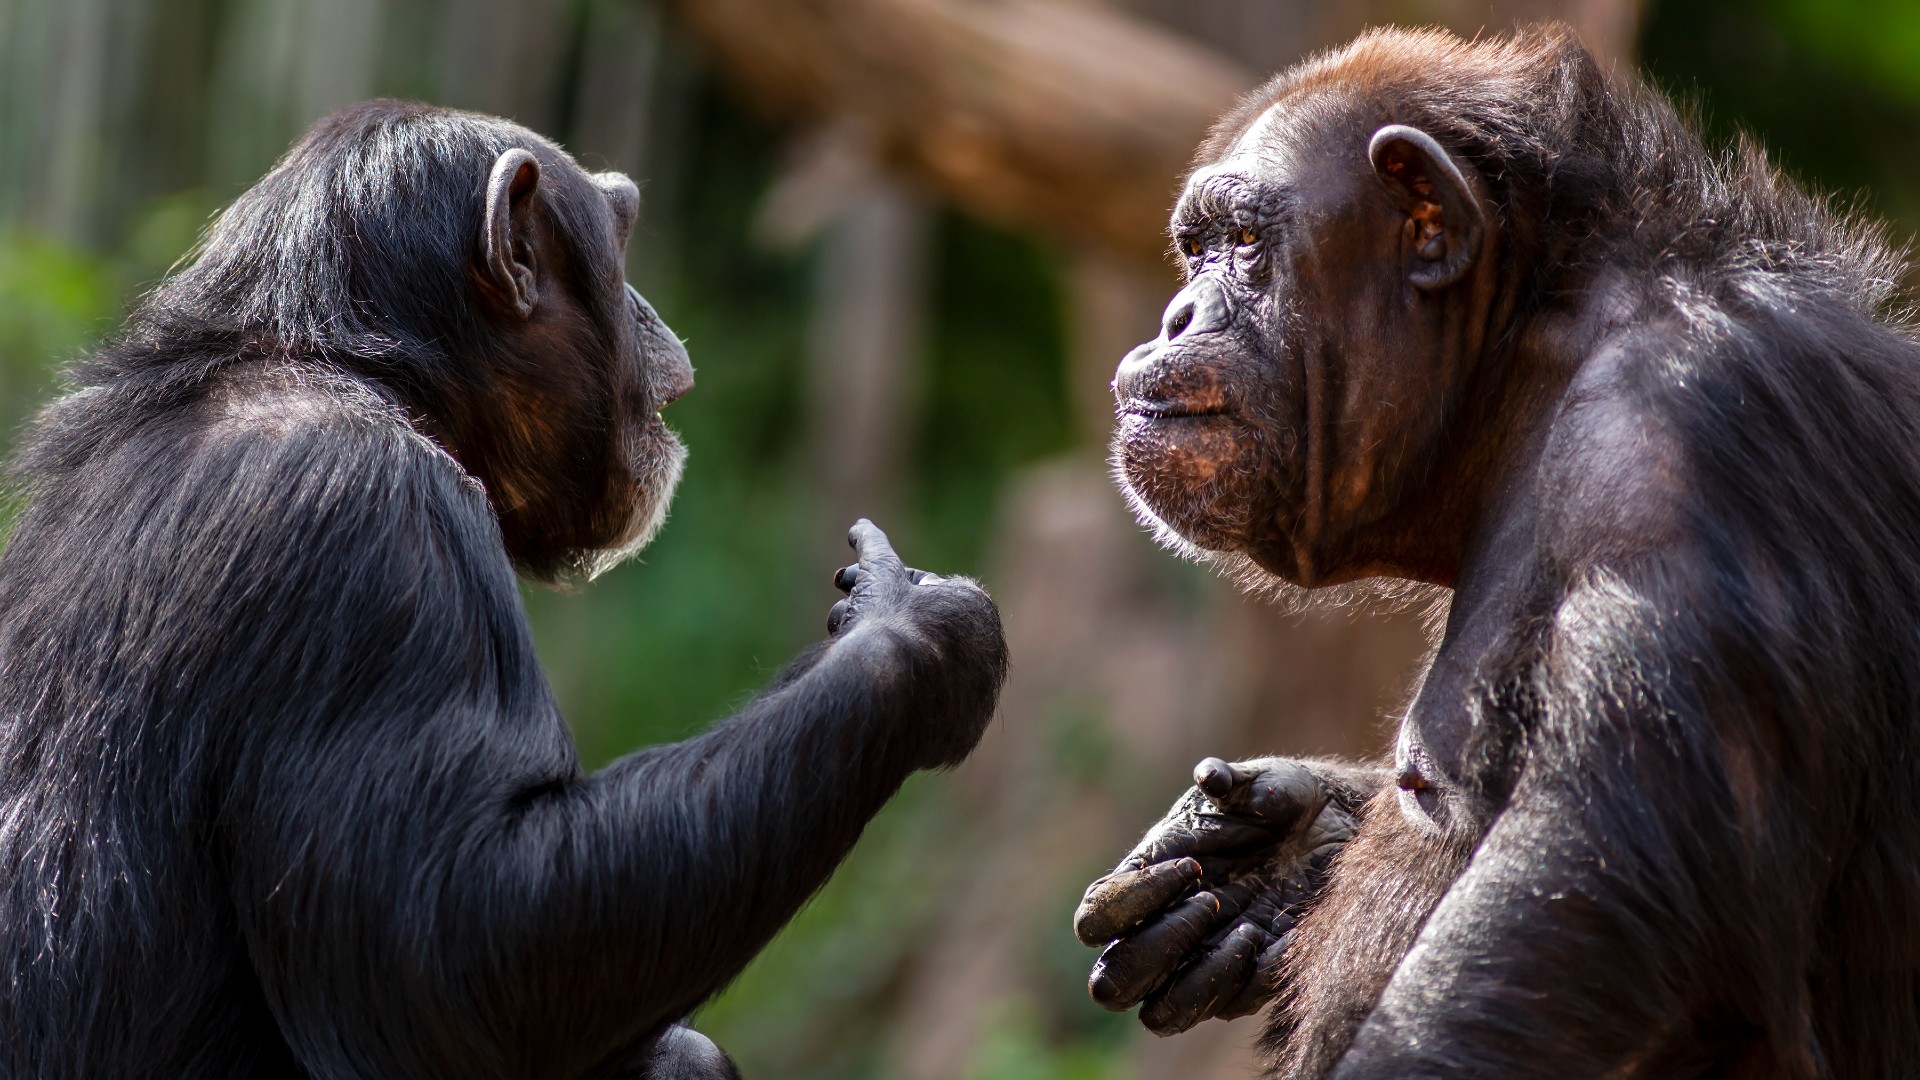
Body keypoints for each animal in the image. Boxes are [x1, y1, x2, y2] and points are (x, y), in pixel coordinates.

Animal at [0, 100, 1013, 1076]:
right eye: (621, 236)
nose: (648, 308)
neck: (361, 371)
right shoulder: (369, 535)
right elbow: (460, 945)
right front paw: (913, 629)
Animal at [1075, 25, 1920, 1076]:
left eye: (1243, 245)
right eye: (1195, 249)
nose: (1177, 316)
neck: (1524, 357)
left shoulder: (1677, 450)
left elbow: (1589, 901)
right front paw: (1274, 858)